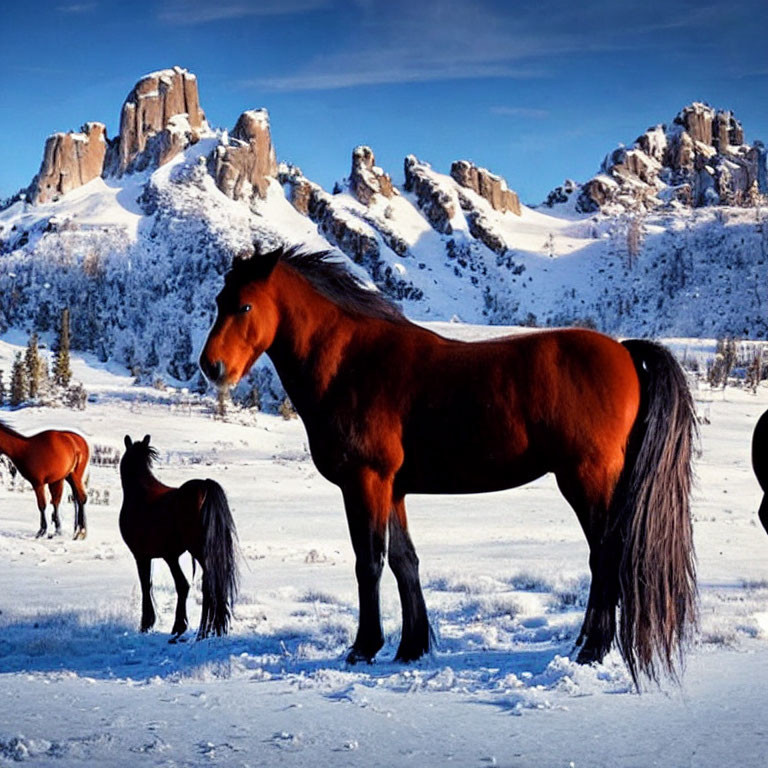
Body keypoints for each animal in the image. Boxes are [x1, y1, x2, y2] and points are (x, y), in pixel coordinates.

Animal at [118, 436, 238, 640]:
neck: (140, 493)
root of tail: (204, 486)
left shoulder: (144, 556)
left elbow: (149, 585)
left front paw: (149, 624)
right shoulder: (169, 556)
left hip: (198, 551)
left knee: (208, 584)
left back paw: (202, 631)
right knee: (210, 585)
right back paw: (210, 629)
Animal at [196, 244, 696, 684]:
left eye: (244, 306)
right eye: (219, 302)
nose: (211, 367)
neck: (350, 363)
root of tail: (624, 351)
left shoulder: (365, 482)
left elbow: (369, 562)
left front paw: (364, 647)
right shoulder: (392, 489)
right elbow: (405, 561)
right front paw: (411, 646)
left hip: (586, 479)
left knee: (606, 555)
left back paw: (592, 647)